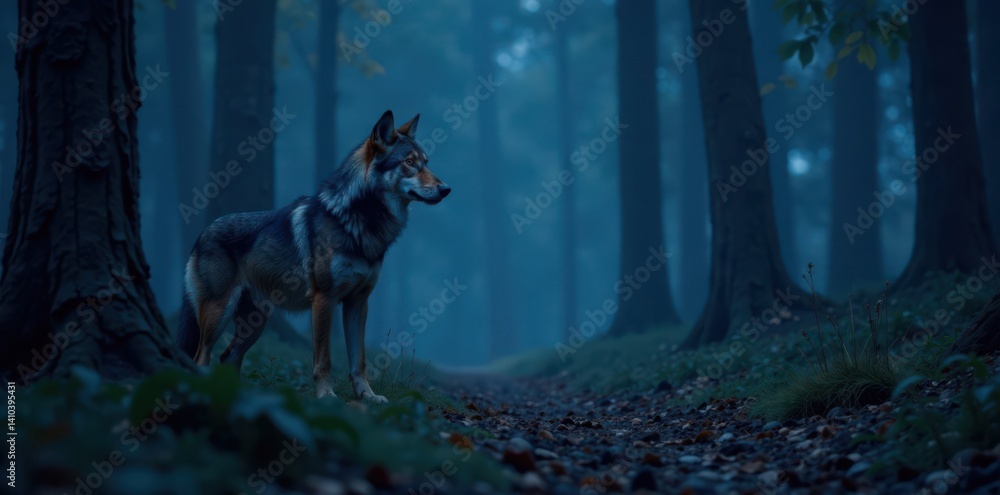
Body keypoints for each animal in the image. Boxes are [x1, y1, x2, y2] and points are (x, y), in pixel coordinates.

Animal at [175, 111, 450, 403]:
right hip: (219, 314)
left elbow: (359, 360)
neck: (360, 223)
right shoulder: (323, 300)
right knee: (200, 357)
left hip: (256, 323)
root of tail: (202, 232)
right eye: (409, 162)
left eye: (426, 163)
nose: (446, 189)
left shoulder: (358, 302)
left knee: (228, 357)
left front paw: (367, 396)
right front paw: (327, 396)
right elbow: (324, 359)